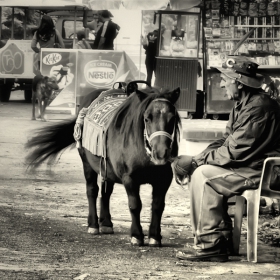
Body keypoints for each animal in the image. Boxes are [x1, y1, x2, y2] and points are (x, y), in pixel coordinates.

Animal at [24, 86, 182, 247]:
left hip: (107, 169)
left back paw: (106, 223)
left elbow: (158, 206)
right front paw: (136, 235)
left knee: (106, 193)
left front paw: (155, 236)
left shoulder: (164, 180)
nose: (161, 153)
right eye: (147, 118)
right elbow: (135, 205)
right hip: (87, 164)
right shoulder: (129, 179)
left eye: (173, 118)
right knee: (92, 191)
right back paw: (93, 225)